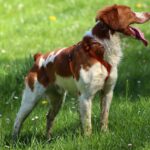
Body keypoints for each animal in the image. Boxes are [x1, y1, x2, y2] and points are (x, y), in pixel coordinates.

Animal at [12, 4, 149, 140]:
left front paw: (105, 134)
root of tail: (39, 58)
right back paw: (15, 141)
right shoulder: (85, 96)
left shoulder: (107, 92)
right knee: (18, 119)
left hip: (58, 99)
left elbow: (104, 117)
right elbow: (87, 123)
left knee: (49, 116)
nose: (148, 13)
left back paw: (48, 139)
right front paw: (89, 140)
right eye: (130, 11)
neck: (99, 52)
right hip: (30, 99)